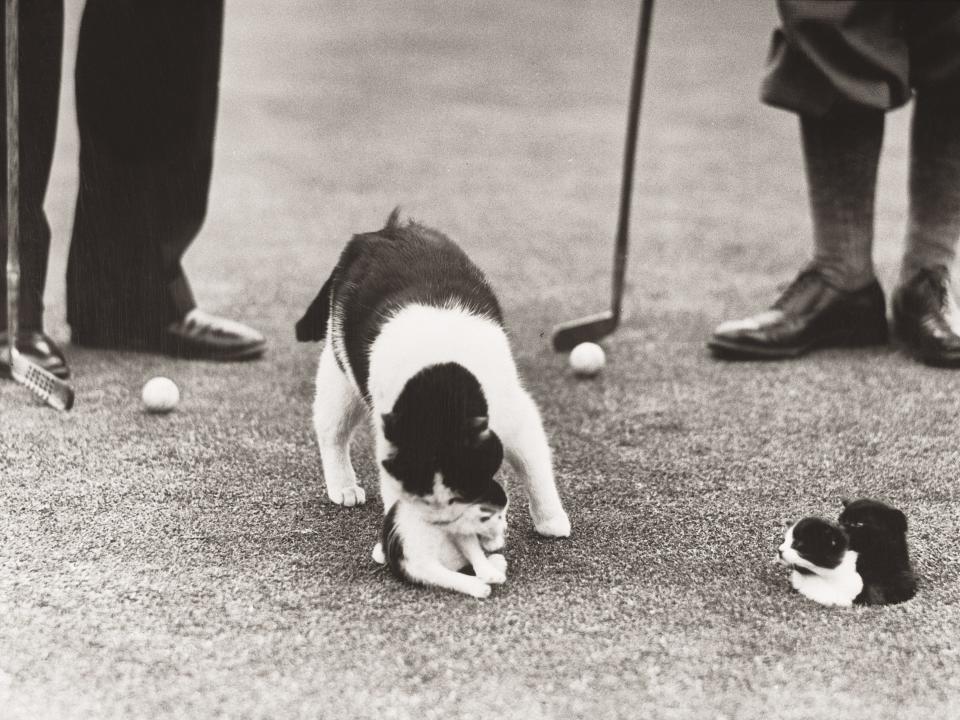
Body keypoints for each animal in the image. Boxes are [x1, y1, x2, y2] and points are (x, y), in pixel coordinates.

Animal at [296, 211, 568, 600]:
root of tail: (385, 230)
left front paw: (550, 521)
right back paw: (343, 486)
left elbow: (536, 469)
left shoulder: (517, 416)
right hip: (340, 363)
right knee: (331, 430)